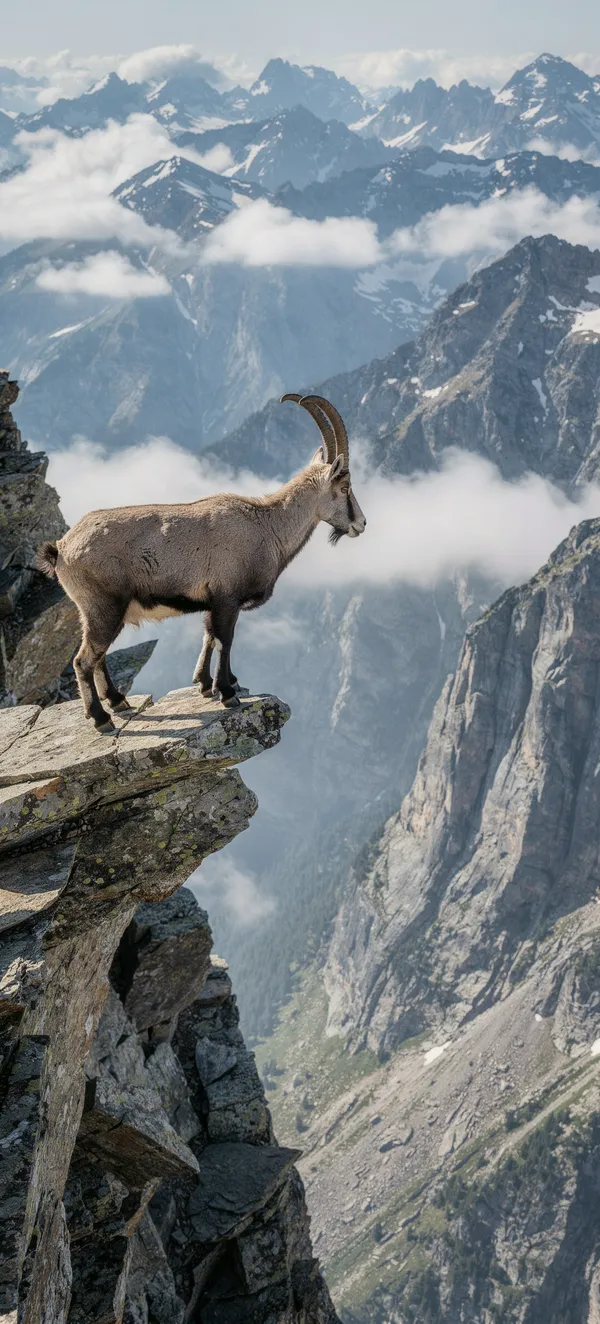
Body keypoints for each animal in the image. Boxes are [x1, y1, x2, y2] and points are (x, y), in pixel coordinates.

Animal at [37, 395, 366, 732]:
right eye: (344, 488)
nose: (361, 523)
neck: (266, 527)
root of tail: (61, 548)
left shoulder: (213, 601)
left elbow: (208, 636)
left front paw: (208, 684)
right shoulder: (227, 598)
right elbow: (224, 640)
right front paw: (226, 692)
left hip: (98, 612)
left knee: (98, 656)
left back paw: (118, 702)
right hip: (104, 607)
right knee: (84, 659)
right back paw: (101, 718)